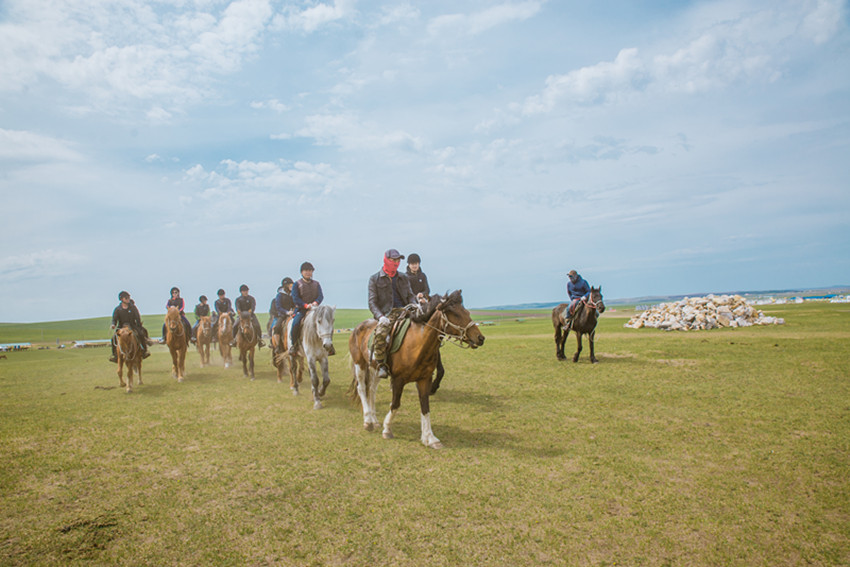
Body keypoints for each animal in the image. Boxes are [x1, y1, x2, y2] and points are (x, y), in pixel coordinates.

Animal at [348, 290, 484, 450]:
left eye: (467, 312)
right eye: (455, 314)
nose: (480, 338)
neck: (418, 343)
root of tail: (358, 328)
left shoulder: (424, 379)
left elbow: (425, 407)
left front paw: (430, 438)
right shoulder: (398, 380)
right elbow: (395, 405)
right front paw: (387, 429)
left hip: (376, 369)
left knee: (372, 390)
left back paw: (374, 420)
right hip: (360, 364)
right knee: (362, 388)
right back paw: (368, 421)